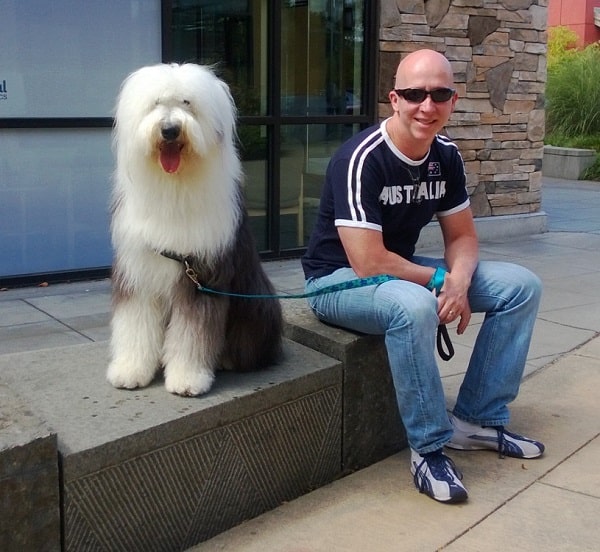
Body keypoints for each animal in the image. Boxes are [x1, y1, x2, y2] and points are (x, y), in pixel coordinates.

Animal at [107, 62, 284, 394]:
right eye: (156, 103)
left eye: (187, 103)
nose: (169, 129)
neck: (175, 185)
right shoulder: (140, 272)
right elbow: (135, 323)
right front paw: (129, 371)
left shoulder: (203, 275)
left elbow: (192, 333)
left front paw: (187, 379)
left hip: (257, 304)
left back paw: (227, 359)